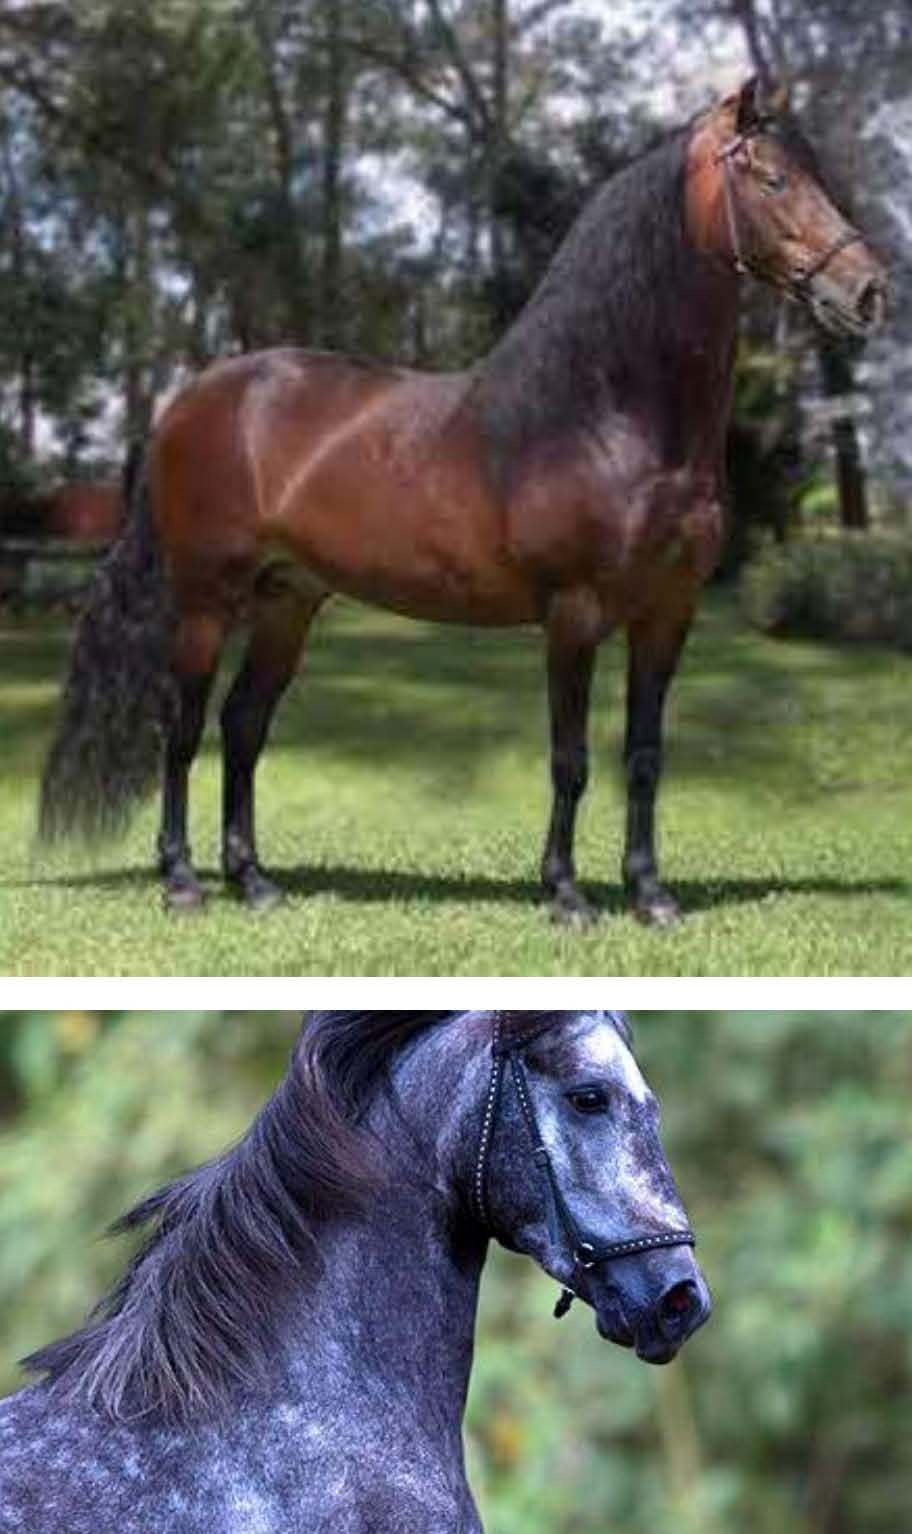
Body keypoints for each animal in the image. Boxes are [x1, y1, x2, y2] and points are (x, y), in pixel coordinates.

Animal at [39, 77, 887, 926]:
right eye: (771, 179)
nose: (870, 290)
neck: (605, 415)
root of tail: (188, 403)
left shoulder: (668, 613)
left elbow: (644, 755)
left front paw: (650, 894)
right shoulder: (573, 612)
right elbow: (571, 758)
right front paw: (566, 895)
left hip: (287, 601)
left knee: (243, 726)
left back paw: (253, 880)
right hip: (207, 602)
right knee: (181, 729)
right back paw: (182, 880)